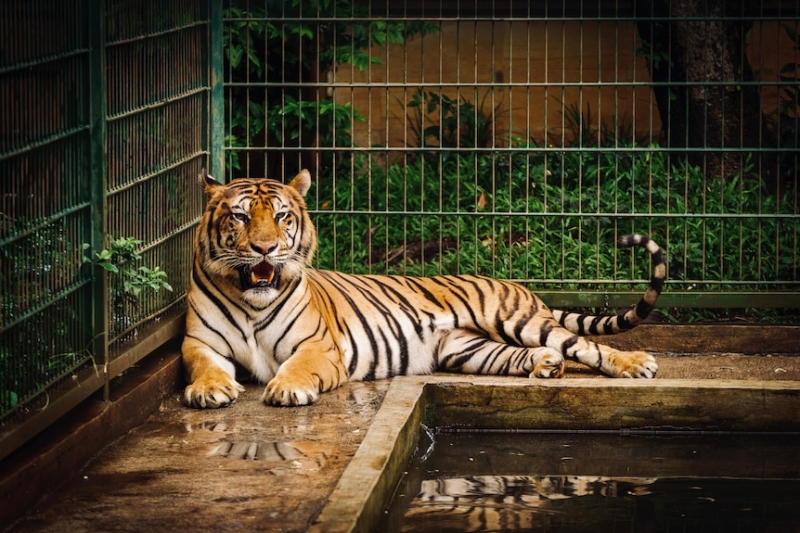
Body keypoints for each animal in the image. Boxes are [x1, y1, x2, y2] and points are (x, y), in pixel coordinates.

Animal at [181, 170, 664, 408]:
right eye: (241, 216)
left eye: (282, 216)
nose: (265, 249)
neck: (251, 302)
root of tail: (518, 284)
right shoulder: (199, 343)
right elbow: (205, 366)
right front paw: (208, 390)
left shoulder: (319, 346)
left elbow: (297, 367)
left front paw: (286, 389)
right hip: (466, 348)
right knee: (527, 354)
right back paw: (546, 366)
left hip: (514, 318)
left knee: (584, 345)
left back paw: (636, 364)